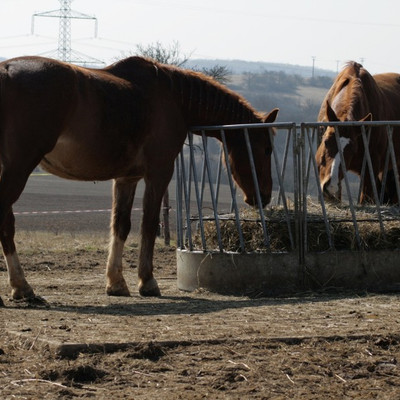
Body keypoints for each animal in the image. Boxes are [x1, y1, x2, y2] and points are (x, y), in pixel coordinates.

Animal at [0, 55, 278, 306]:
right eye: (266, 149)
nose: (264, 196)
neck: (172, 97)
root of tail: (5, 71)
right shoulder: (159, 172)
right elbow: (149, 224)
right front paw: (147, 282)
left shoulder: (127, 178)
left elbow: (120, 226)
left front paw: (116, 283)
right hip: (19, 167)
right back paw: (22, 287)